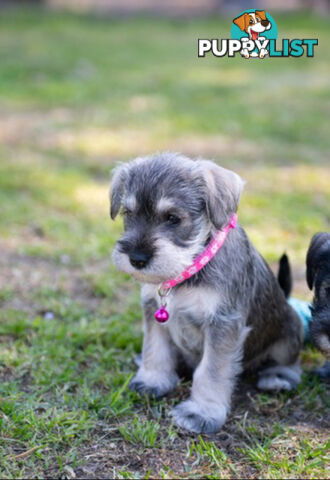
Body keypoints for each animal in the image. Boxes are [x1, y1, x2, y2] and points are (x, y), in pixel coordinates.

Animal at [109, 155, 302, 436]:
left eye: (173, 218)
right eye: (128, 213)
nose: (137, 259)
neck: (187, 269)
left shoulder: (222, 325)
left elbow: (211, 371)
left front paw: (201, 413)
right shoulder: (153, 310)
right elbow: (155, 348)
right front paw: (152, 380)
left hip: (290, 332)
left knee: (290, 362)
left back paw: (277, 378)